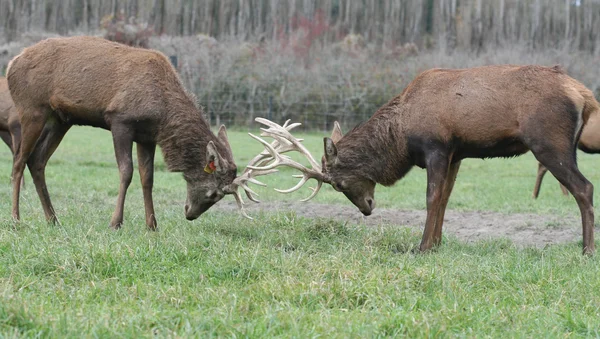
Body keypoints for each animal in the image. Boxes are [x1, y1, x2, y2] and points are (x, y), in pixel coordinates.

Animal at [245, 65, 600, 255]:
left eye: (338, 183)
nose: (367, 208)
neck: (401, 135)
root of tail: (584, 94)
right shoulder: (457, 153)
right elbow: (445, 198)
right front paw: (437, 243)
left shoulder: (437, 147)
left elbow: (432, 197)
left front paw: (422, 246)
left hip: (549, 143)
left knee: (584, 188)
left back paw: (586, 250)